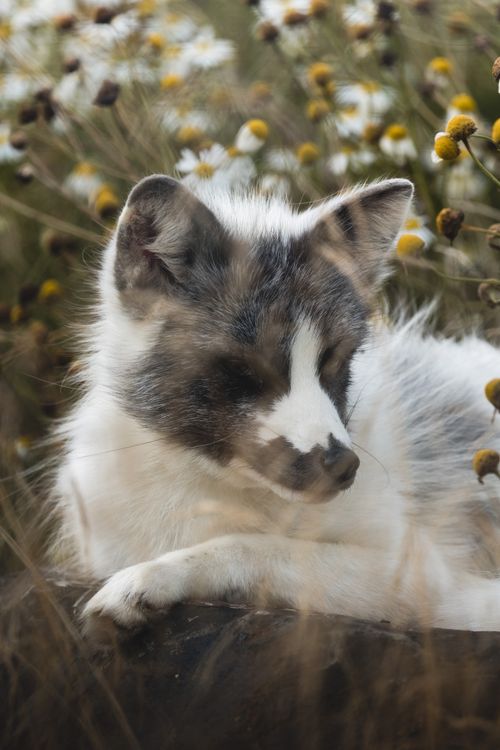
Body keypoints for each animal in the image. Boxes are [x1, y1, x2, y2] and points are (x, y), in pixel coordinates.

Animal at [53, 174, 500, 634]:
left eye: (335, 360)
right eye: (247, 368)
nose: (343, 466)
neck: (212, 487)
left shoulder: (426, 577)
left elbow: (253, 546)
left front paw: (154, 576)